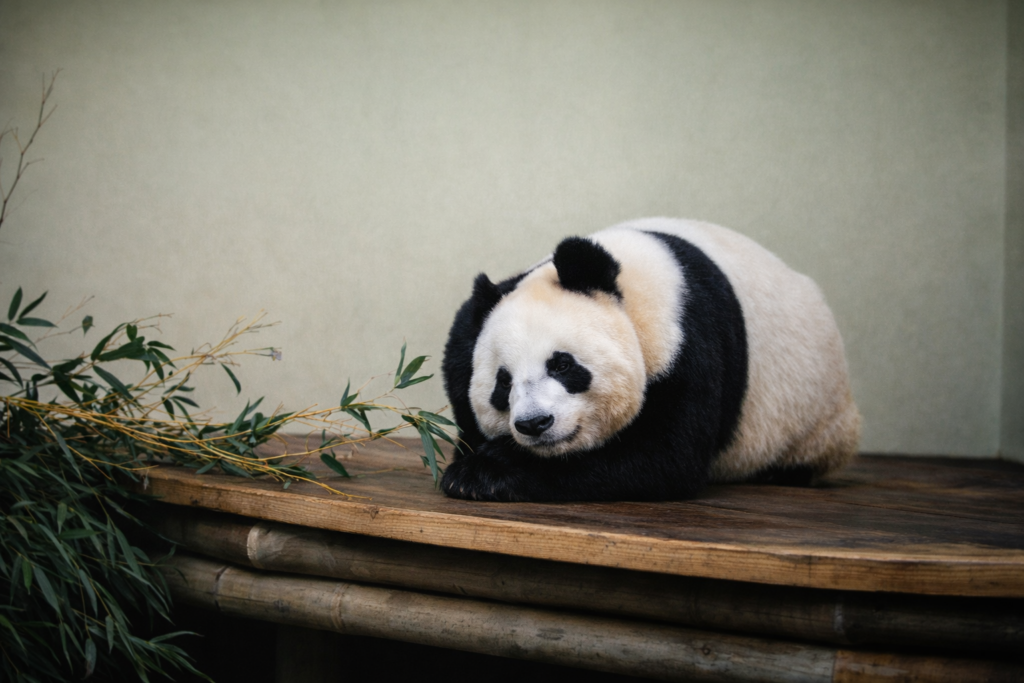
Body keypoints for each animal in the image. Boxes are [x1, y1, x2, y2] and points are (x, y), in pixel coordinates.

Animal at [440, 217, 861, 502]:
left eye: (562, 365)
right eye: (503, 382)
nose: (534, 423)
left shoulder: (689, 339)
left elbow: (663, 456)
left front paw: (484, 472)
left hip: (813, 414)